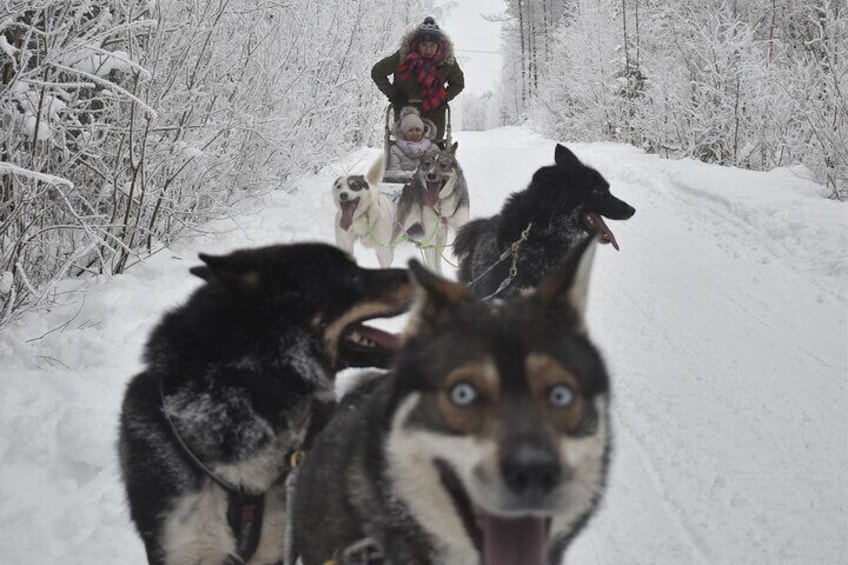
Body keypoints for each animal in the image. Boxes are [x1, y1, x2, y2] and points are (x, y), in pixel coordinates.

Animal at [392, 141, 468, 274]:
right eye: (427, 164)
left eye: (443, 165)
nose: (431, 175)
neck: (442, 202)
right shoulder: (430, 235)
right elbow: (430, 262)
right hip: (404, 224)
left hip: (442, 236)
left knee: (438, 259)